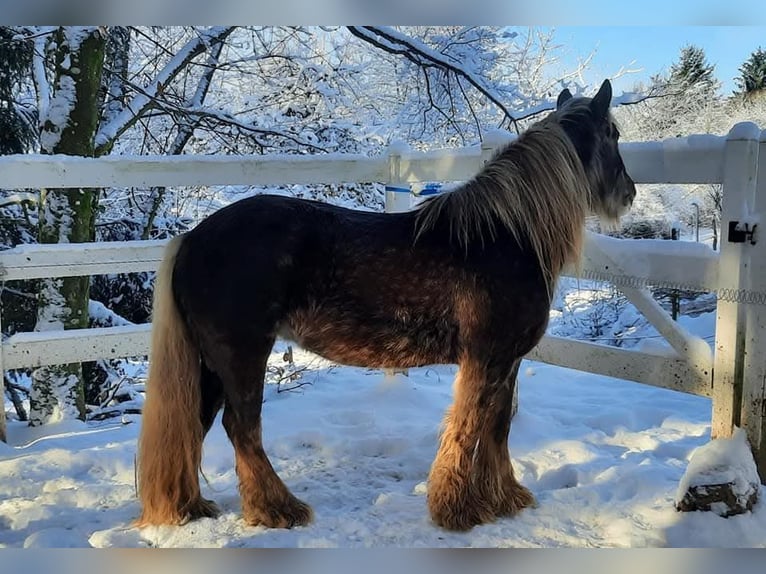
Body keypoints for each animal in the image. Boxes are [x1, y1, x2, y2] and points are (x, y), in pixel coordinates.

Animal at [136, 79, 636, 532]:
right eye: (613, 134)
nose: (629, 193)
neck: (504, 234)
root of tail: (192, 239)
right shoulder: (486, 358)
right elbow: (469, 427)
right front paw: (458, 511)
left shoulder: (507, 360)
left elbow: (496, 429)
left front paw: (504, 500)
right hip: (241, 355)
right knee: (241, 428)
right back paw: (277, 510)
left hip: (210, 364)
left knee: (193, 424)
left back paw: (188, 507)